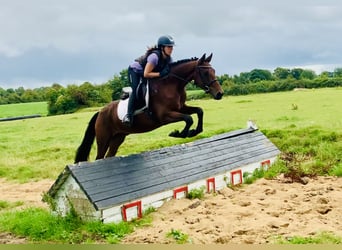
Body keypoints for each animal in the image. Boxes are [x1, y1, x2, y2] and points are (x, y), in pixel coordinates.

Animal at [74, 53, 223, 163]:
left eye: (214, 71)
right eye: (205, 73)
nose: (220, 94)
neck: (172, 85)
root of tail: (100, 112)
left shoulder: (181, 108)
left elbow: (199, 111)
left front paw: (194, 131)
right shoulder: (164, 116)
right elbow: (188, 119)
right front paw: (179, 133)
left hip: (118, 137)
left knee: (109, 156)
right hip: (103, 139)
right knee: (99, 157)